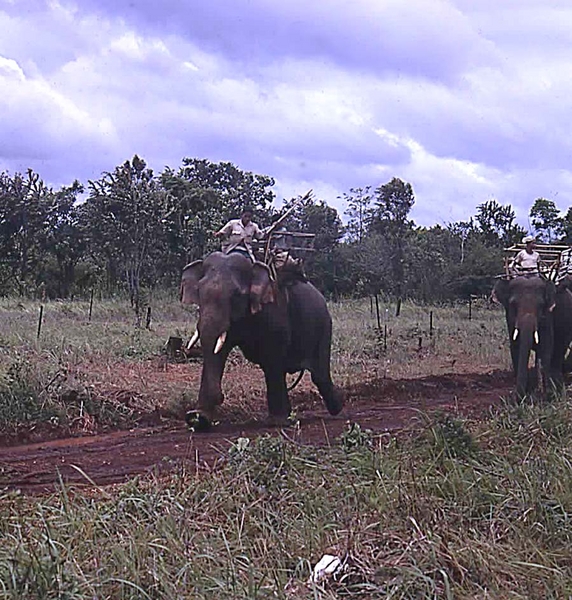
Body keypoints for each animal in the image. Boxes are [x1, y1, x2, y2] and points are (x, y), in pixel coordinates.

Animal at [179, 251, 344, 428]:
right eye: (199, 292)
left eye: (237, 295)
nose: (221, 397)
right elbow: (217, 351)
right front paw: (198, 420)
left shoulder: (274, 313)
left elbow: (273, 357)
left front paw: (278, 421)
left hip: (324, 325)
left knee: (319, 374)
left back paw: (338, 407)